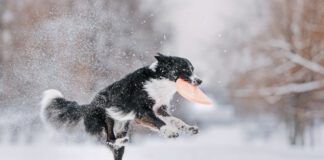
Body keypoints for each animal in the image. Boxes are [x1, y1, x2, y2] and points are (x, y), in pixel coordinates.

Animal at [40, 53, 202, 160]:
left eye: (193, 69)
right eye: (185, 70)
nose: (200, 81)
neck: (160, 81)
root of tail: (88, 106)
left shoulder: (158, 109)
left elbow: (175, 120)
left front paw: (189, 128)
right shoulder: (143, 111)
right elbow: (159, 122)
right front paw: (170, 132)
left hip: (122, 127)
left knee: (113, 145)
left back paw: (122, 141)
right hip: (106, 120)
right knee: (107, 140)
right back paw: (121, 140)